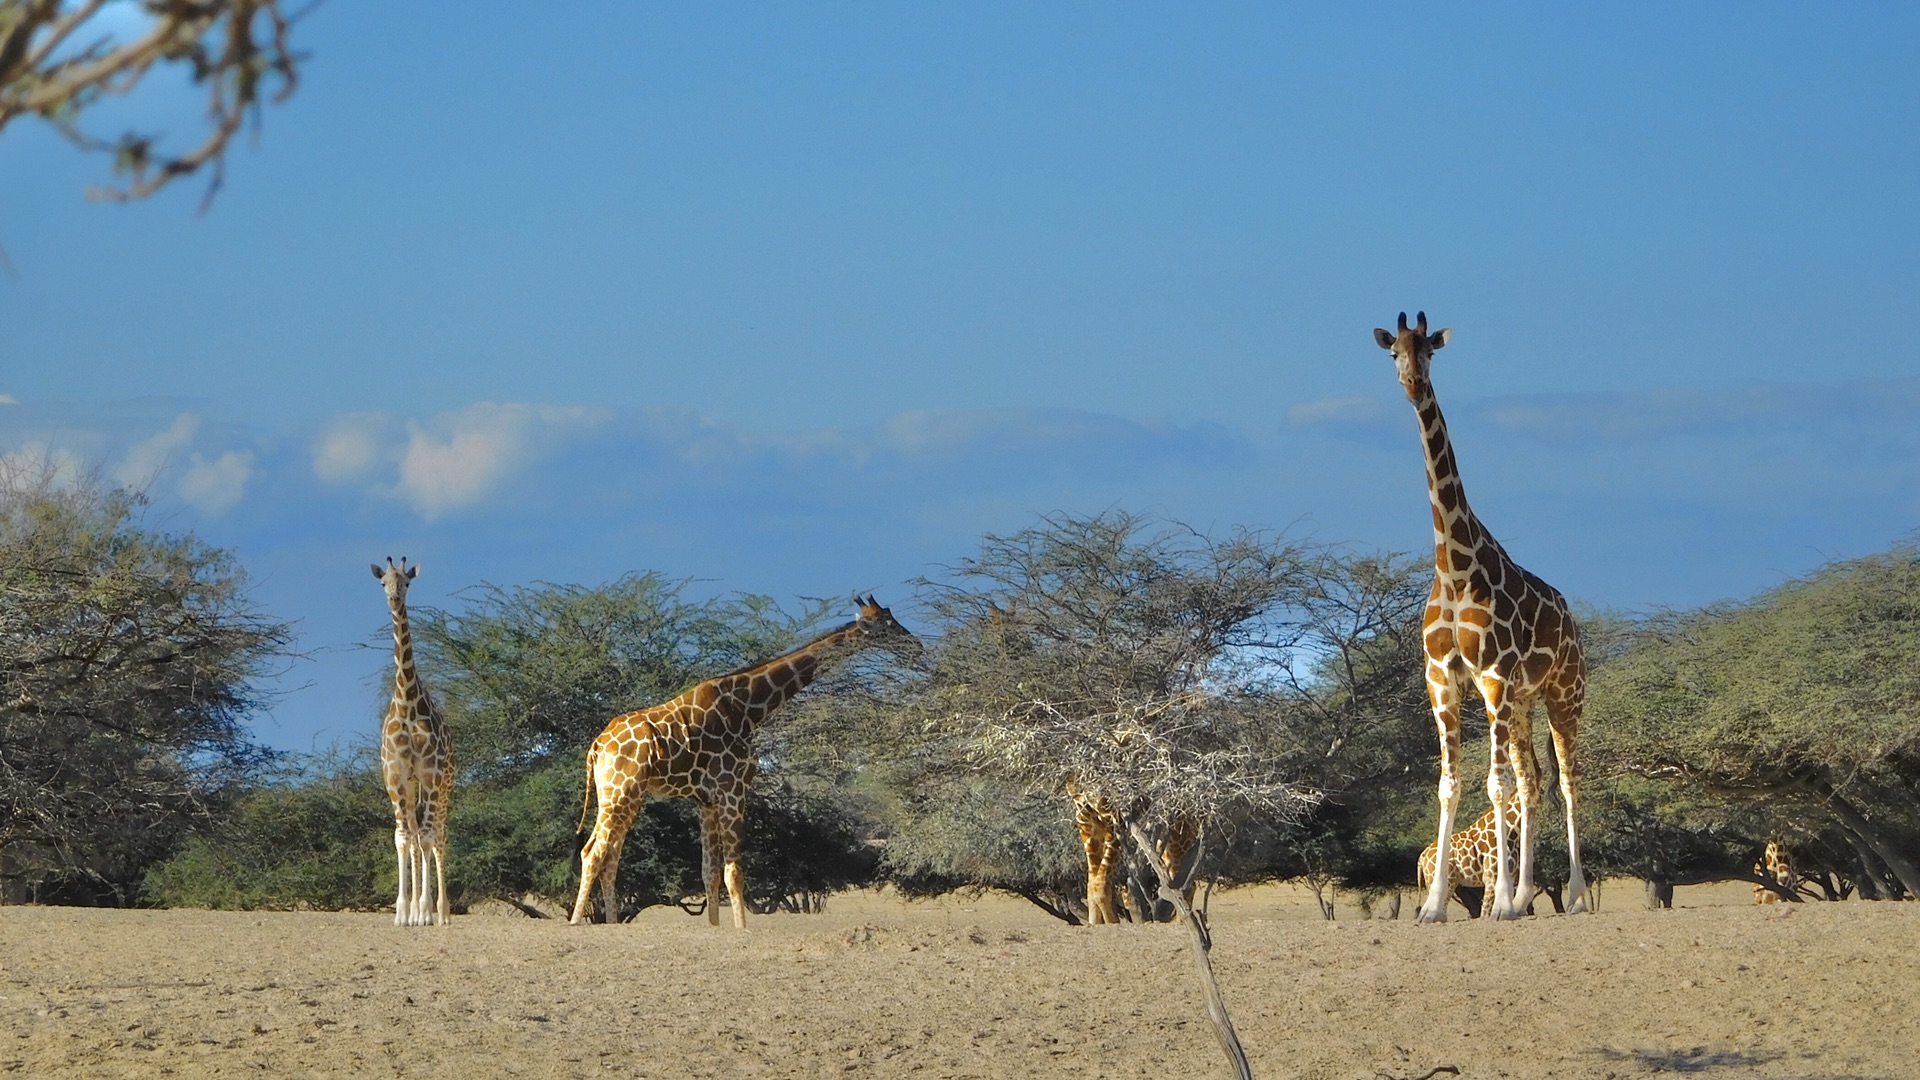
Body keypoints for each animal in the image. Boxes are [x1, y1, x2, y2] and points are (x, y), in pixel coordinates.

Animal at [564, 591, 917, 922]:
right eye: (887, 624)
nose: (915, 643)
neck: (749, 709)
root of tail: (597, 746)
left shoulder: (705, 800)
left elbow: (709, 872)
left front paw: (716, 928)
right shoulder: (733, 789)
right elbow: (734, 873)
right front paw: (742, 930)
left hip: (621, 795)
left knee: (609, 856)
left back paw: (610, 922)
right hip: (621, 792)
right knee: (593, 853)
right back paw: (577, 924)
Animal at [1382, 309, 1589, 914]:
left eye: (1429, 349)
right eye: (1393, 351)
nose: (1412, 382)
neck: (1454, 567)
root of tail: (1573, 624)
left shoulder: (1492, 676)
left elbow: (1493, 786)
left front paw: (1494, 900)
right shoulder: (1442, 679)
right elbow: (1451, 785)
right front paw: (1434, 908)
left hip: (1564, 695)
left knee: (1569, 780)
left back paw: (1573, 895)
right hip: (1521, 705)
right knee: (1533, 780)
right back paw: (1522, 898)